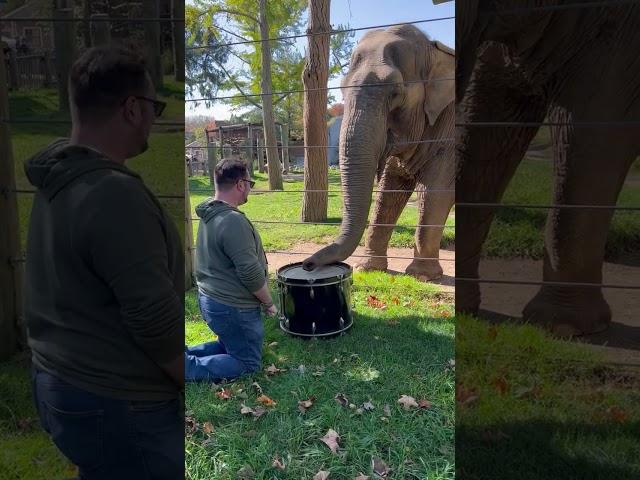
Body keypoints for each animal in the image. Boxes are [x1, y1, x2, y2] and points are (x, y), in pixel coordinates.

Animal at [302, 25, 456, 282]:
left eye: (395, 93)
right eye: (342, 89)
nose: (307, 265)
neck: (434, 50)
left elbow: (435, 190)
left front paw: (422, 276)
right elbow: (390, 190)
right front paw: (369, 268)